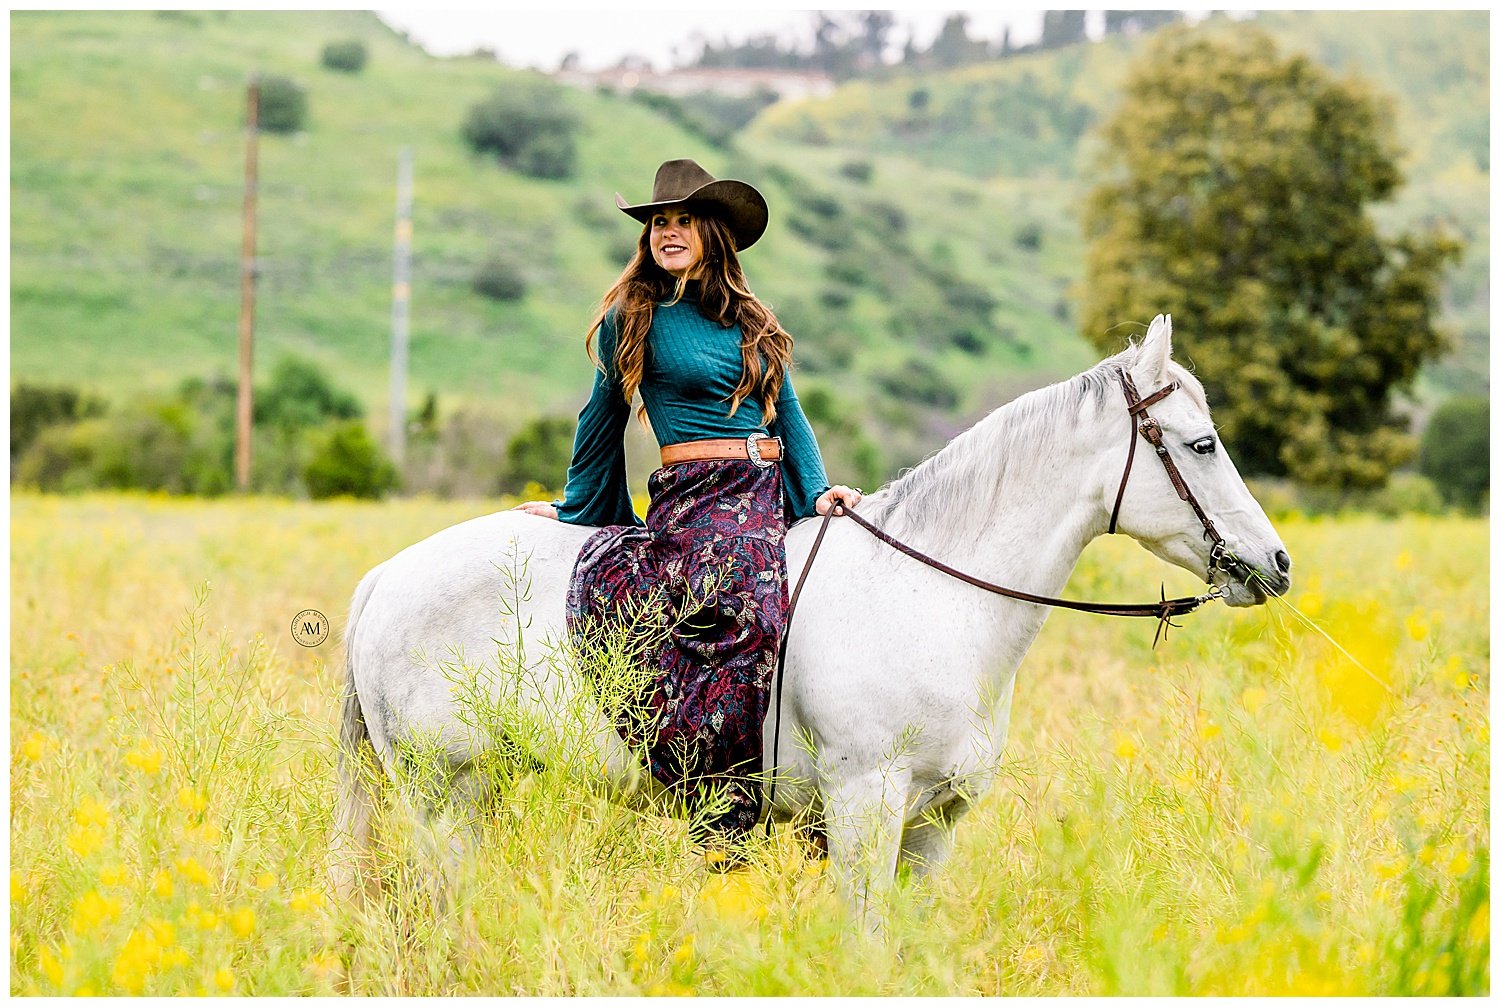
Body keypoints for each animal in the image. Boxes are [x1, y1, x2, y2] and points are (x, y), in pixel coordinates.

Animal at [331, 315, 1290, 924]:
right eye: (1202, 444)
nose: (1276, 563)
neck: (932, 598)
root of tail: (380, 580)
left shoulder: (934, 827)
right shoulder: (865, 804)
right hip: (443, 793)